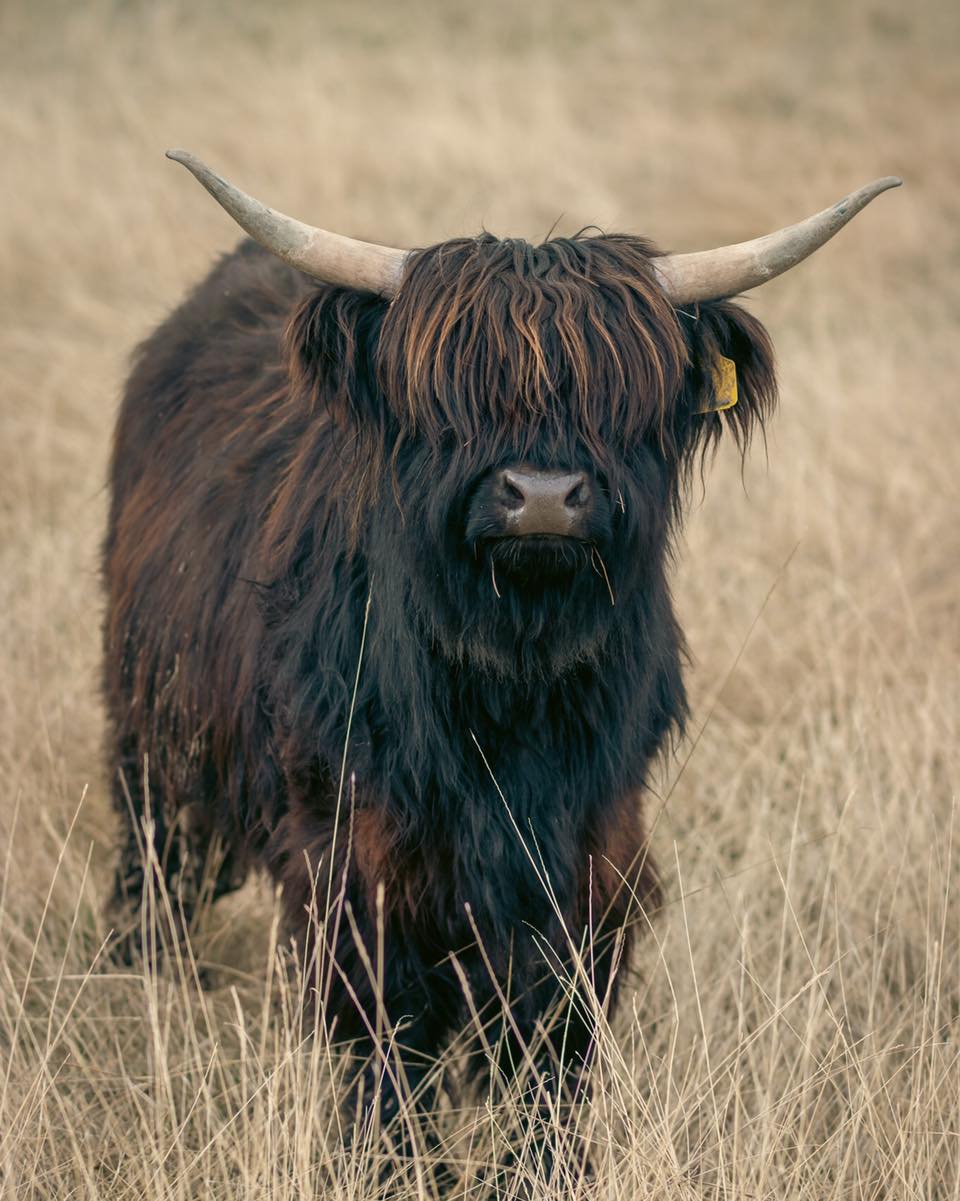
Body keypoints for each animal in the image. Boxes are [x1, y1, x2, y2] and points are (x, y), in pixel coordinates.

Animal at [104, 152, 898, 1177]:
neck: (509, 693)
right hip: (151, 728)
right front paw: (396, 1165)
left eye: (624, 396)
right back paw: (141, 977)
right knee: (155, 857)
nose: (545, 494)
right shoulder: (356, 857)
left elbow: (556, 1036)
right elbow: (384, 1029)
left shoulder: (596, 851)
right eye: (453, 395)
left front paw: (547, 1163)